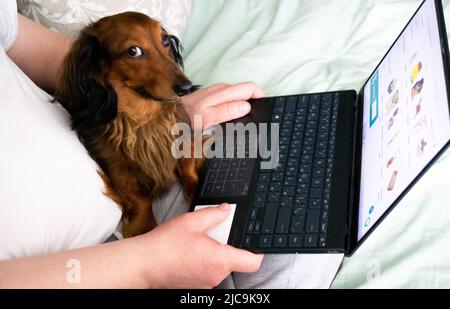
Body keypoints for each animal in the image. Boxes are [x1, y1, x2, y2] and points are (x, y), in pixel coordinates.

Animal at [54, 12, 200, 237]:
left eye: (165, 41)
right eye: (133, 51)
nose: (187, 88)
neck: (143, 119)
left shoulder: (184, 141)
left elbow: (188, 165)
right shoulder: (118, 171)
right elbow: (138, 197)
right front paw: (145, 226)